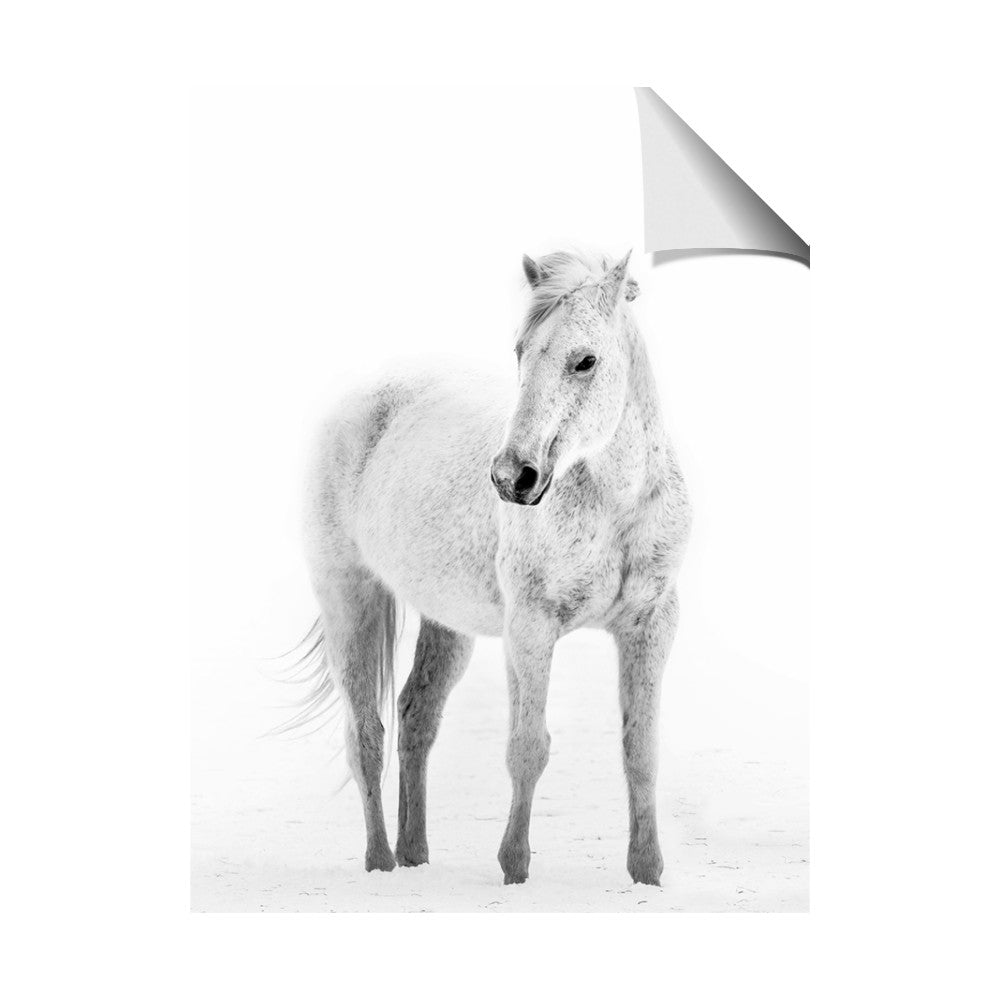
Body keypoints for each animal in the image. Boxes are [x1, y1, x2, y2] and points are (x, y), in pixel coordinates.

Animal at [297, 249, 691, 885]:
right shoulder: (530, 628)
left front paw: (647, 873)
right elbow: (527, 747)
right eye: (521, 352)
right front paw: (514, 868)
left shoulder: (652, 625)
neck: (615, 506)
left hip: (446, 623)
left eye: (586, 360)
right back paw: (381, 862)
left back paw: (415, 853)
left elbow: (641, 751)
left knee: (415, 716)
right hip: (348, 598)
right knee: (366, 736)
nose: (512, 478)